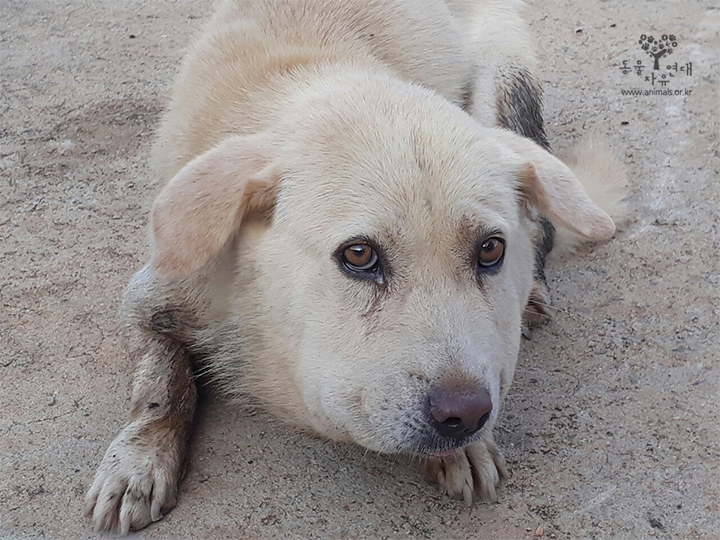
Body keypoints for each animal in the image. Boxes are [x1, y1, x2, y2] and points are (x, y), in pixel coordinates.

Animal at [83, 0, 624, 532]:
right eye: (359, 255)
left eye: (490, 250)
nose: (466, 416)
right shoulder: (152, 295)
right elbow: (161, 382)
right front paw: (137, 461)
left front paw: (464, 450)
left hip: (506, 73)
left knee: (542, 223)